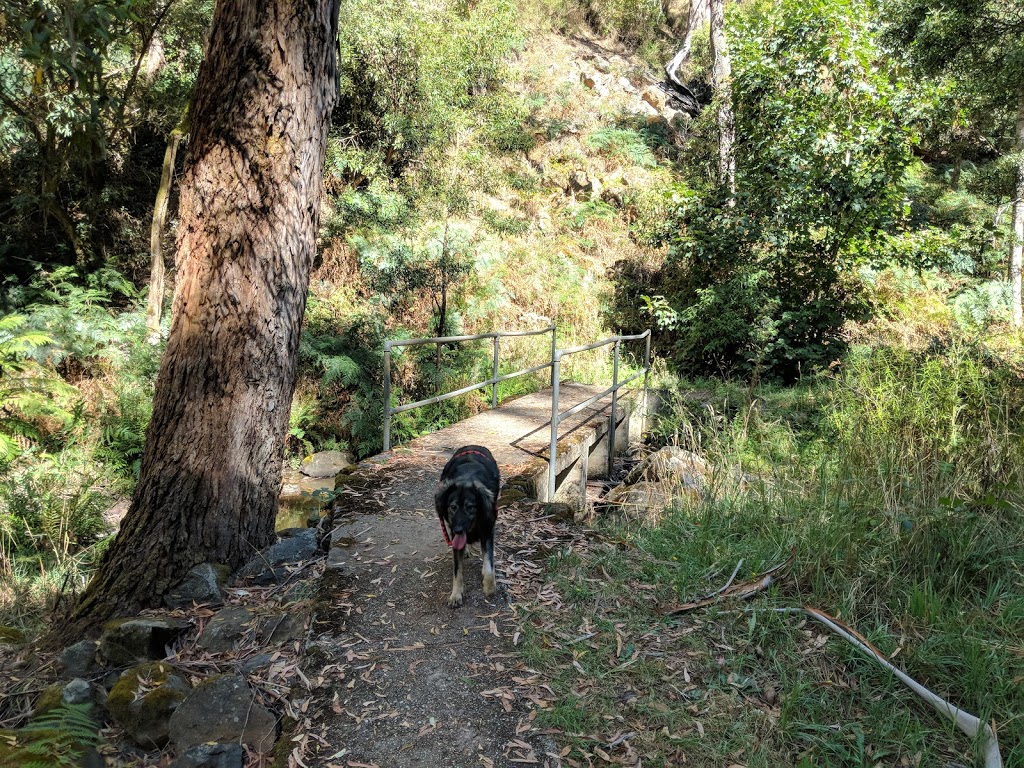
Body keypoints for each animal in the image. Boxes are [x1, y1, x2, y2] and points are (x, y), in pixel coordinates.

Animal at [432, 444, 499, 606]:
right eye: (453, 507)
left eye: (470, 507)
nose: (458, 529)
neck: (467, 478)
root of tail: (473, 445)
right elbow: (457, 571)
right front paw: (456, 595)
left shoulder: (487, 531)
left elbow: (489, 565)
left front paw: (489, 587)